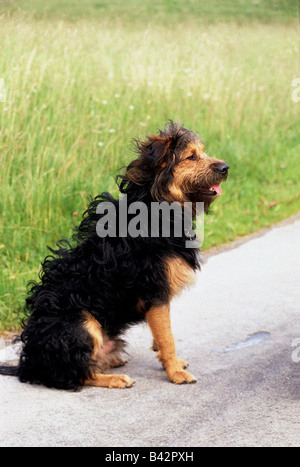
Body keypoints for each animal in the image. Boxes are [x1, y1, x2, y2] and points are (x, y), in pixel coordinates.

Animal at [0, 121, 229, 392]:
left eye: (202, 152)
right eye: (191, 156)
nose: (226, 168)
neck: (157, 206)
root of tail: (30, 364)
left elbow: (160, 337)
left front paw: (167, 362)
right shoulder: (155, 292)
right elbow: (168, 338)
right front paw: (174, 372)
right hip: (82, 323)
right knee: (77, 375)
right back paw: (114, 379)